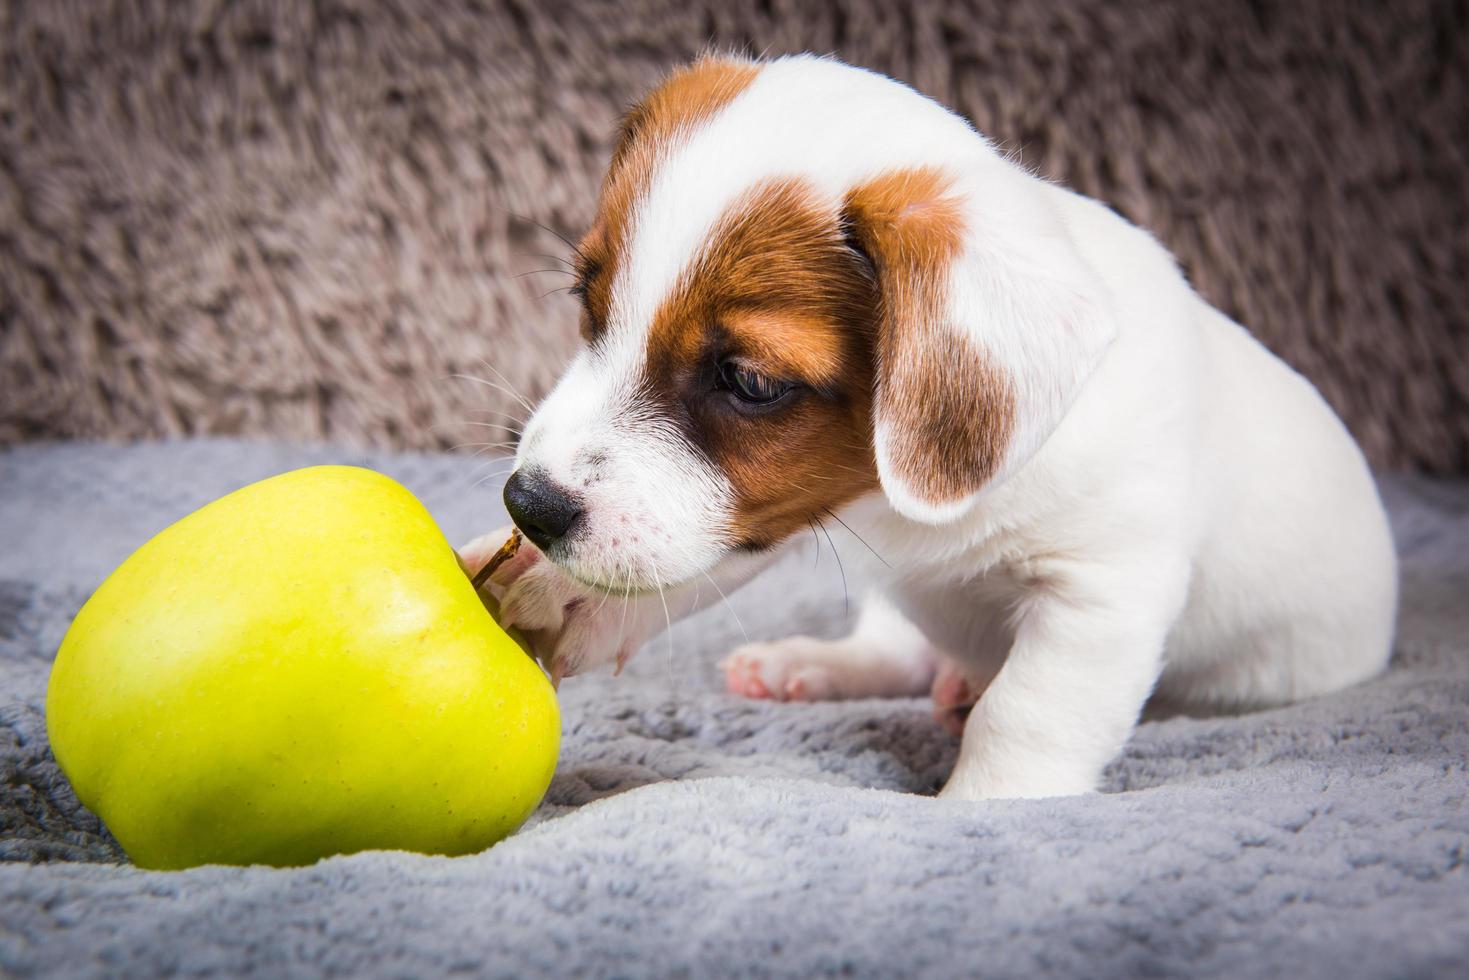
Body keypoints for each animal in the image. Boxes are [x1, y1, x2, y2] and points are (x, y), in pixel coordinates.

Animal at [461, 53, 1398, 799]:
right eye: (587, 302)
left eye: (749, 382)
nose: (527, 506)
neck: (901, 502)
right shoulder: (789, 504)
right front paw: (564, 594)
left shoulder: (1101, 592)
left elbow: (1025, 716)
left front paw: (985, 809)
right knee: (898, 649)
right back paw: (816, 664)